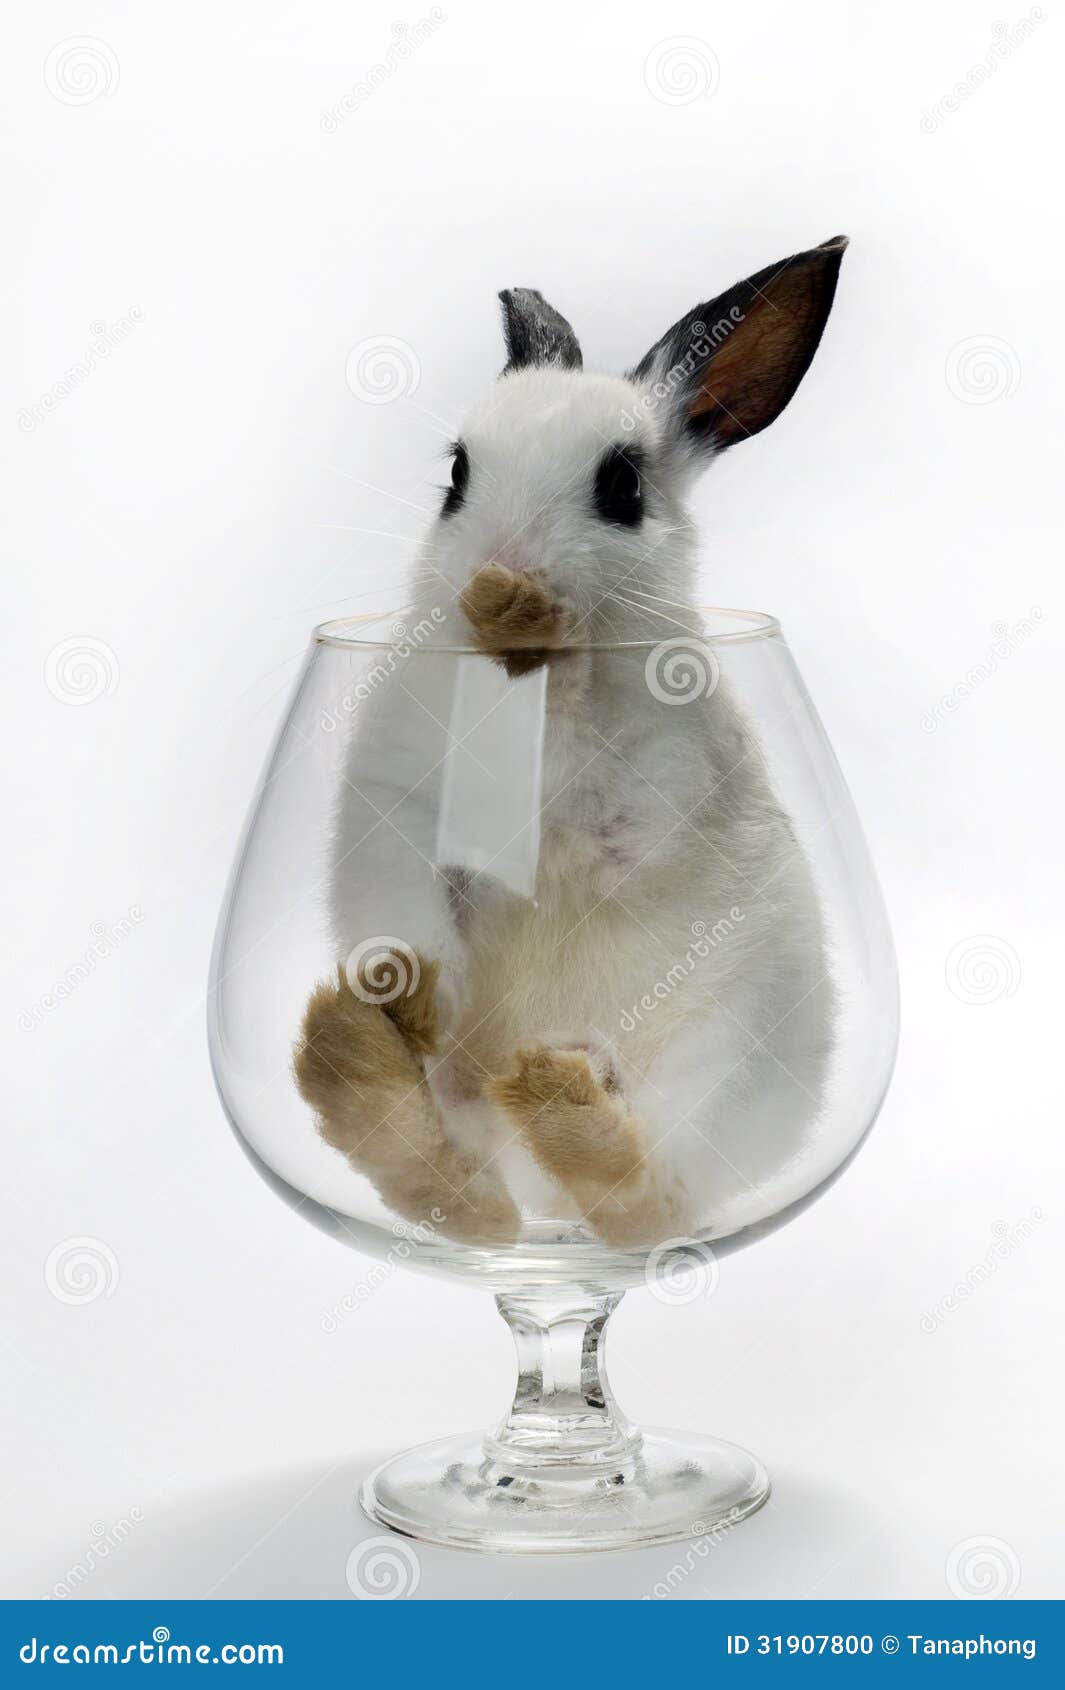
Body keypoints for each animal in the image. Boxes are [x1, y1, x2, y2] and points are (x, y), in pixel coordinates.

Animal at [295, 237, 847, 1250]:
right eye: (457, 476)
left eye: (621, 487)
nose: (498, 583)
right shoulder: (394, 815)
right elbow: (412, 920)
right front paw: (416, 1001)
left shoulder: (656, 803)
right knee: (441, 1173)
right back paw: (359, 1055)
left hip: (727, 1061)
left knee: (640, 1198)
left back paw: (568, 1085)